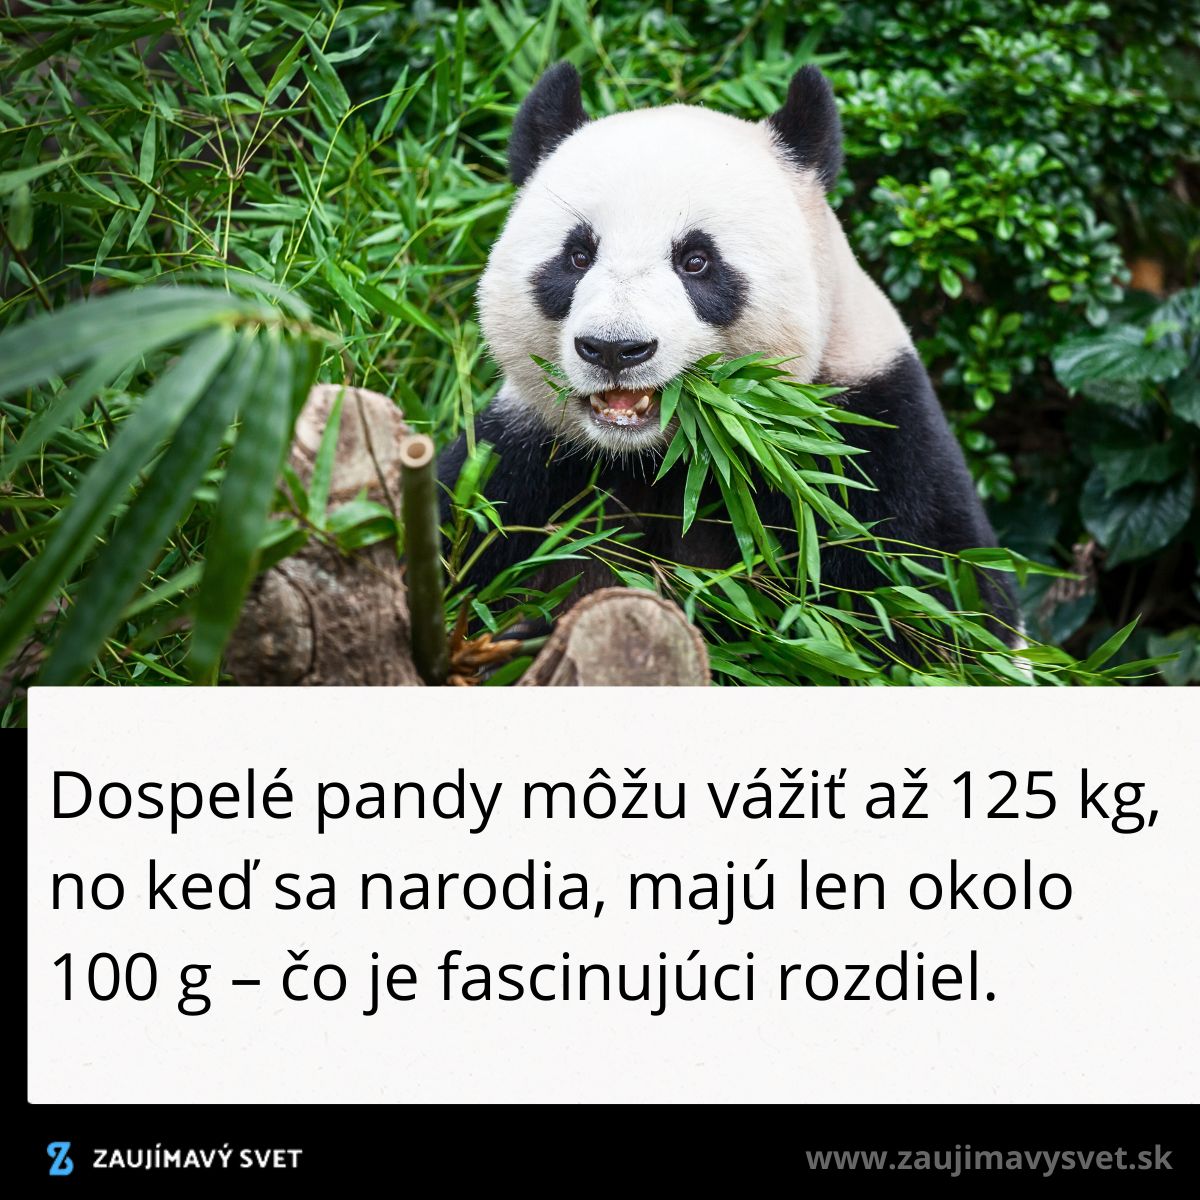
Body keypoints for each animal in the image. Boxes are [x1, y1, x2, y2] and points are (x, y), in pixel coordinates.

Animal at [439, 63, 1017, 644]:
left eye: (696, 260)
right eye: (577, 256)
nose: (615, 348)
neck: (663, 456)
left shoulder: (869, 444)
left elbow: (928, 603)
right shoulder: (523, 462)